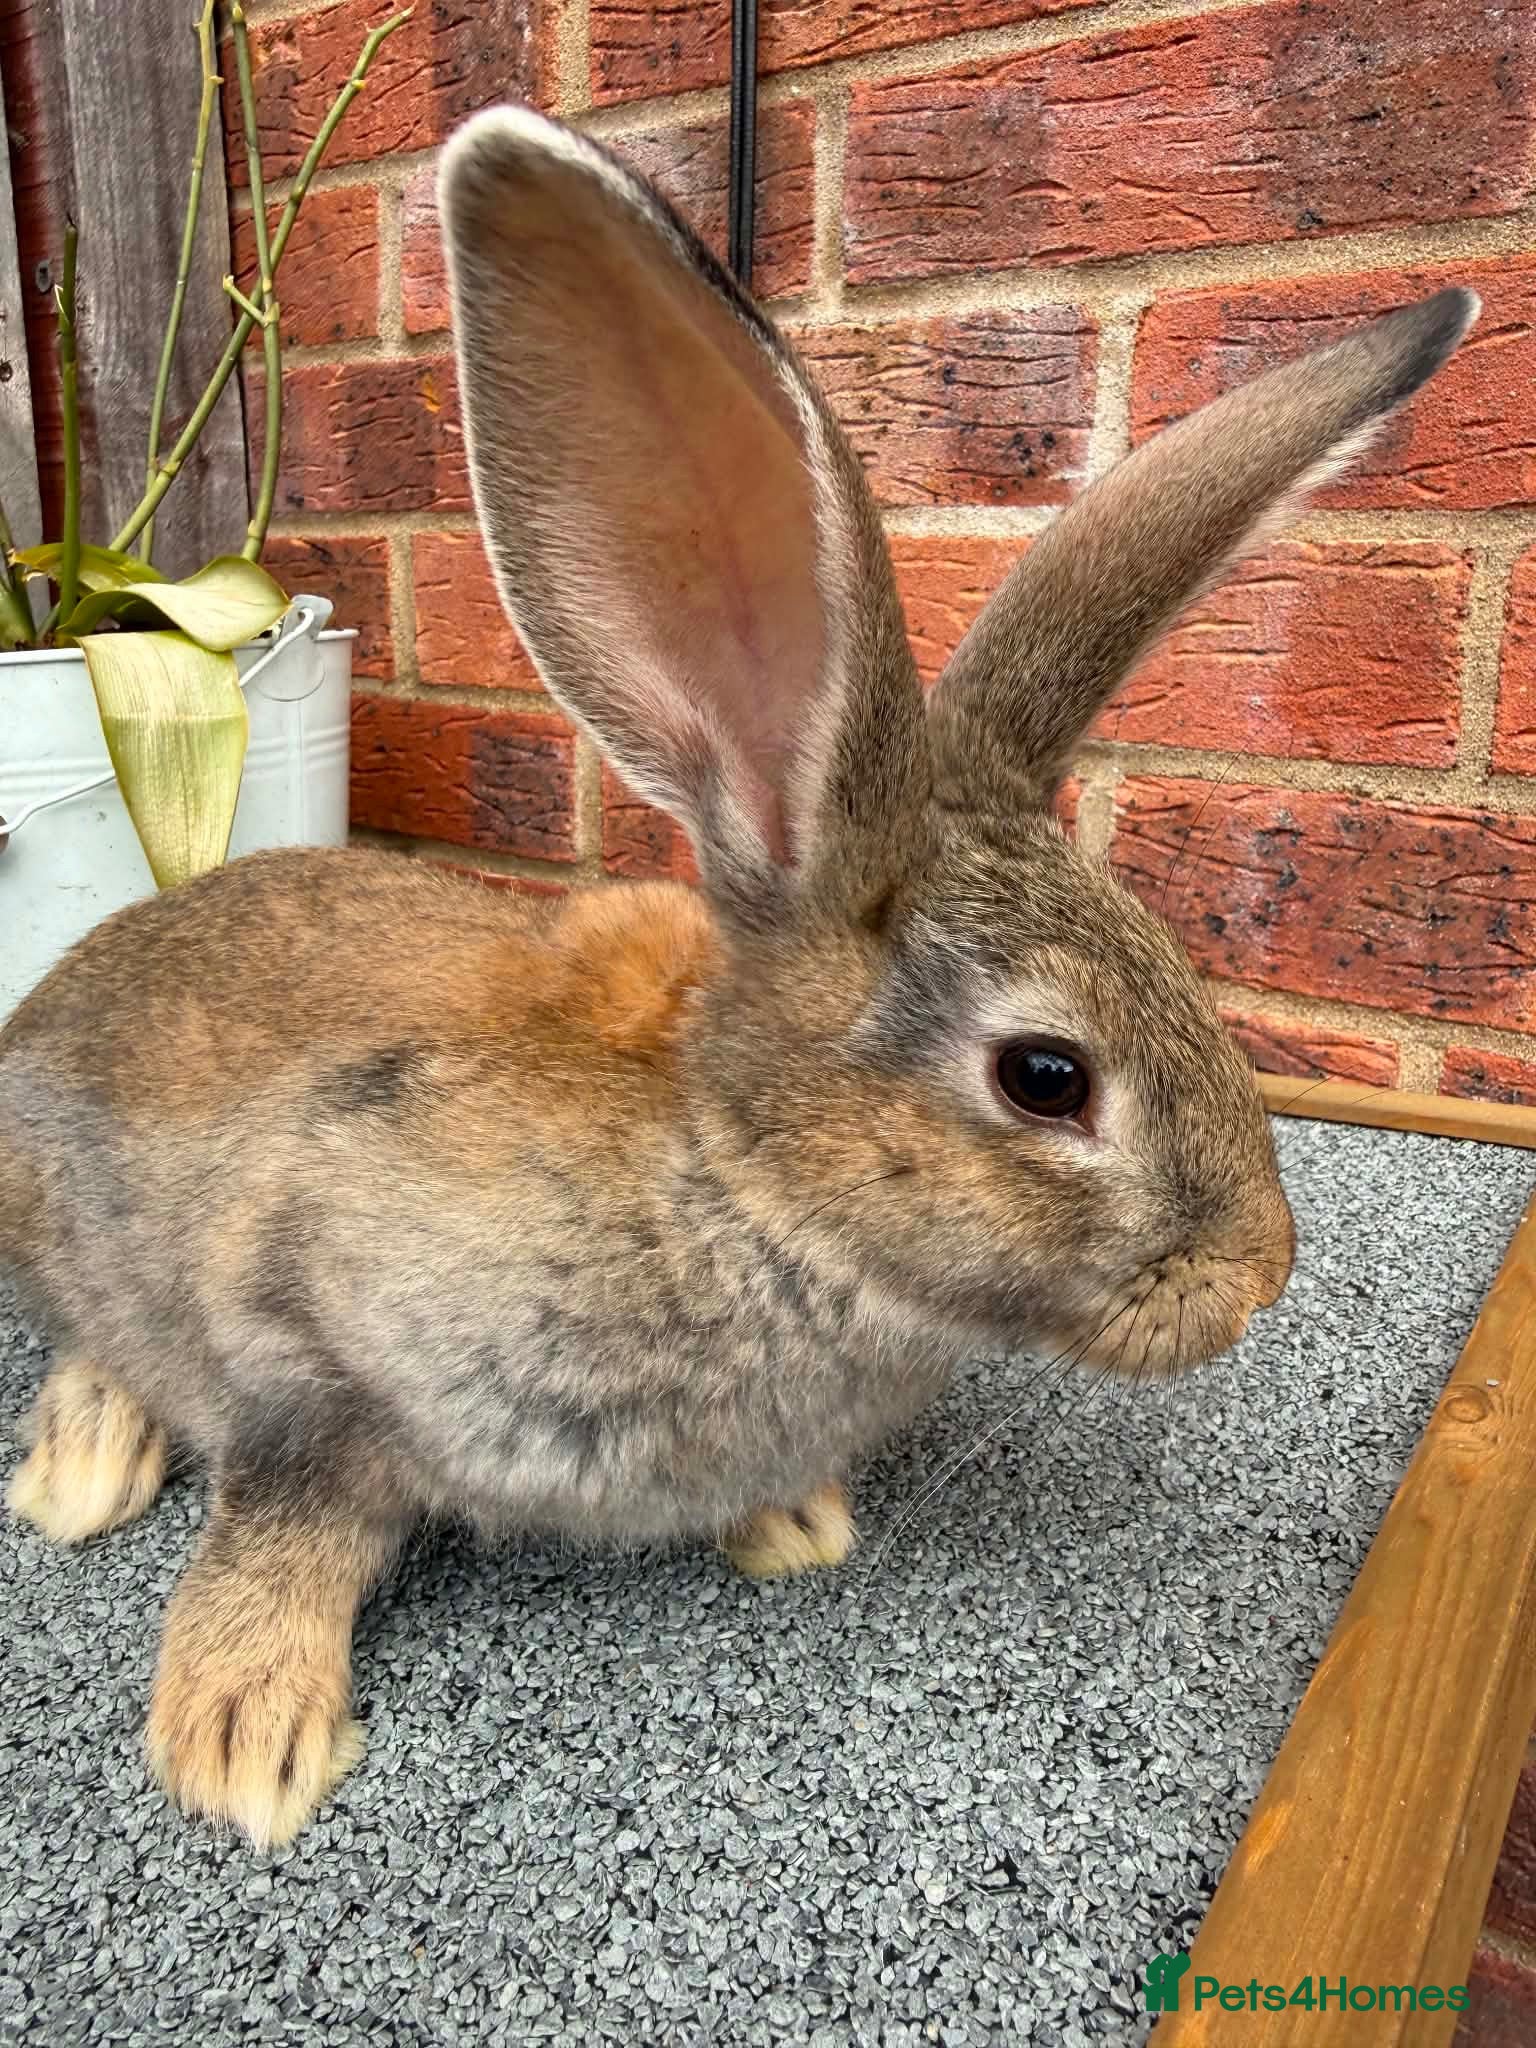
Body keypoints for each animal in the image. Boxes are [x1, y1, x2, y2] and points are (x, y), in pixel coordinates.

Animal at [0, 100, 1476, 1849]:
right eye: (1048, 1078)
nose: (1260, 1275)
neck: (742, 1182)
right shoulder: (305, 1316)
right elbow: (290, 1498)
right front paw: (237, 1737)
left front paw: (795, 1524)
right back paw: (84, 1467)